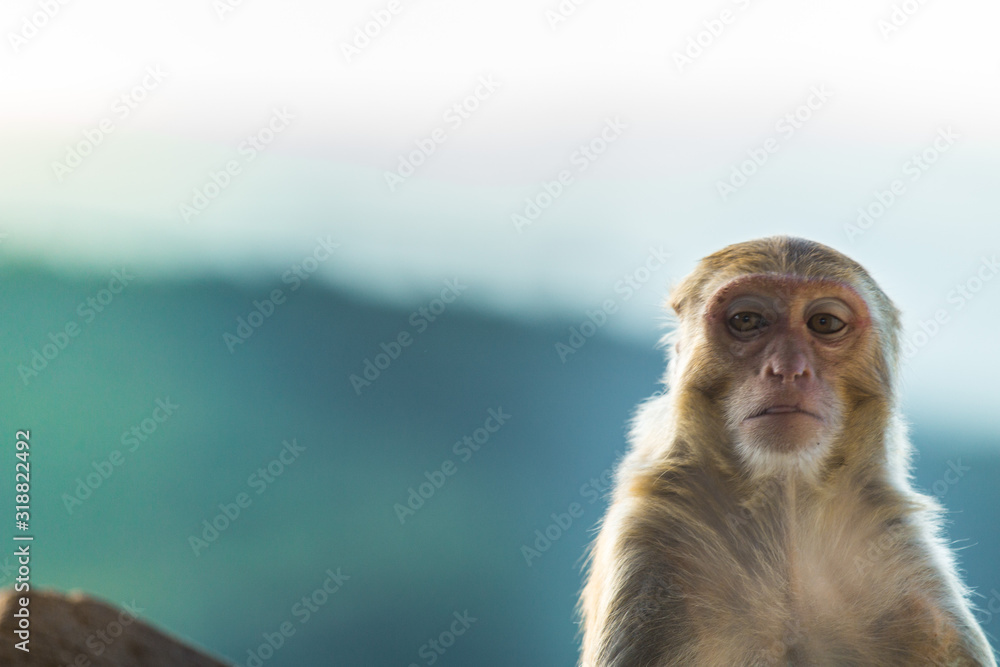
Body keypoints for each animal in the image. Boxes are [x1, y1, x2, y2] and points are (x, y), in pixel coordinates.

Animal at [579, 236, 996, 666]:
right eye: (747, 320)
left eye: (824, 323)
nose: (788, 369)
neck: (786, 508)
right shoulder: (647, 546)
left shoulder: (907, 564)